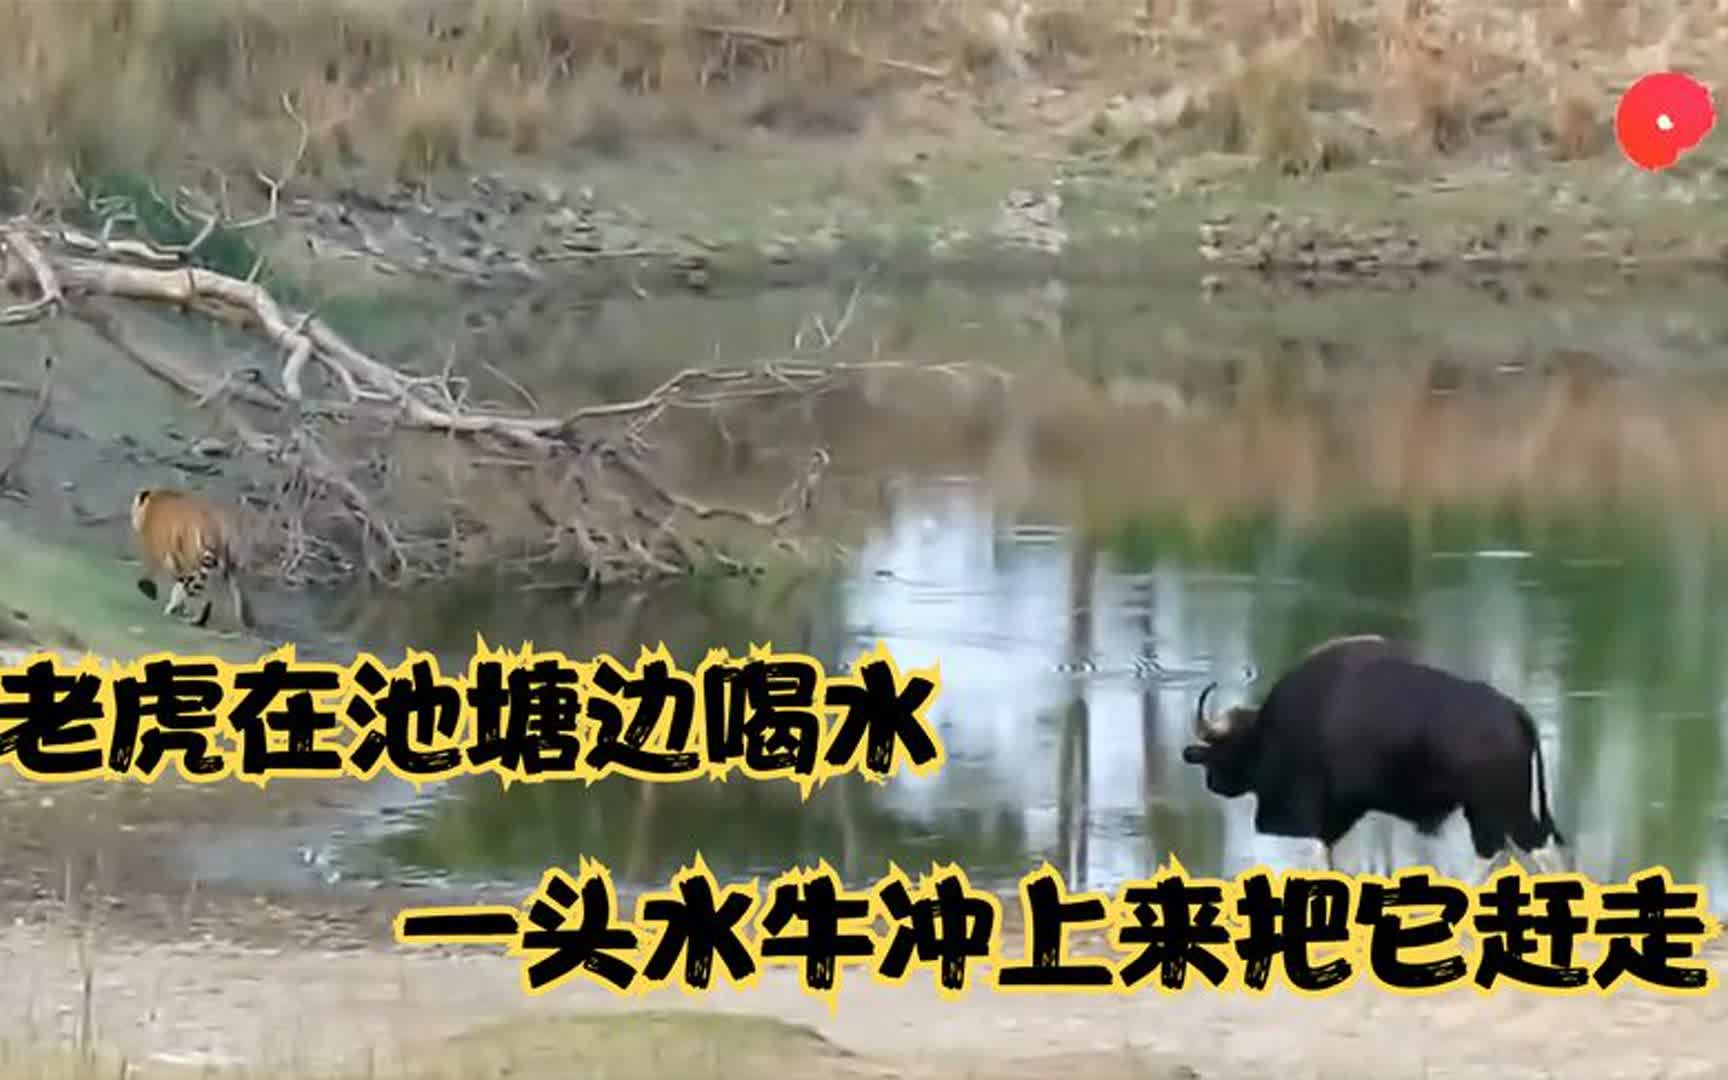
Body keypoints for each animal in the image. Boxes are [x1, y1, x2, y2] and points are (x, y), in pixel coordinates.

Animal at [130, 487, 254, 631]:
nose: (132, 519)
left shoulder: (162, 552)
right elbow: (178, 588)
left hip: (192, 562)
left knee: (200, 595)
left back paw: (195, 619)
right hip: (223, 564)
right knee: (232, 593)